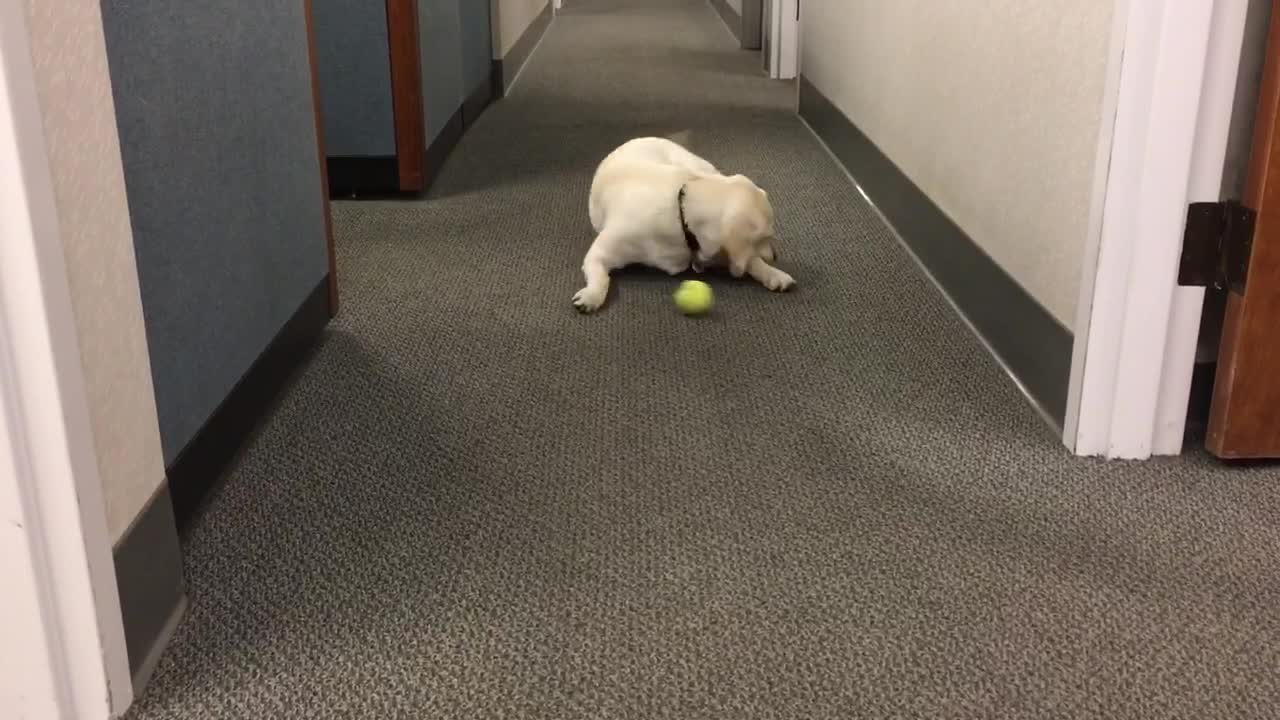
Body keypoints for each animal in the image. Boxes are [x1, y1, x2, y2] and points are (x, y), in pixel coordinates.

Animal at [576, 137, 793, 311]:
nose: (775, 256)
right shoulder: (600, 252)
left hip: (696, 164)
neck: (681, 212)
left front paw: (772, 273)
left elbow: (751, 261)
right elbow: (601, 276)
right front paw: (592, 295)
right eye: (763, 238)